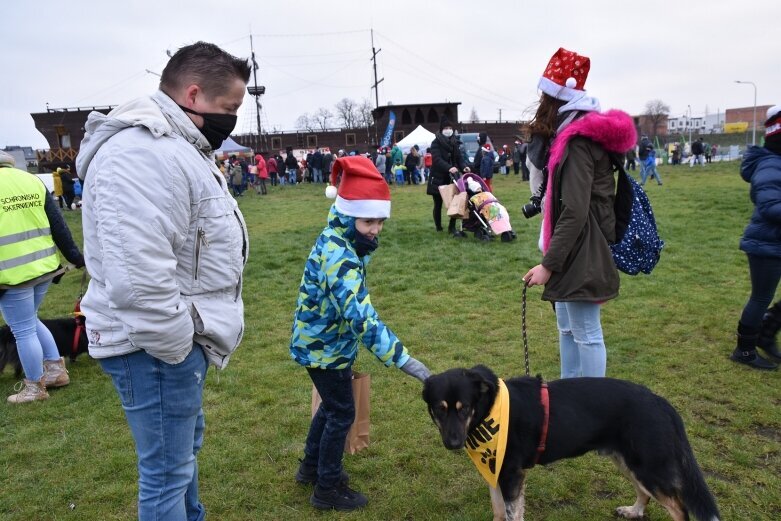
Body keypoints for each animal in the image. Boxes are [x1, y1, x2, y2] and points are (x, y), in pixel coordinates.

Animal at [420, 366, 720, 520]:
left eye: (464, 408)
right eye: (439, 409)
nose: (453, 443)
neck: (490, 409)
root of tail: (659, 401)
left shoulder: (510, 476)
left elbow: (511, 514)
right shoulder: (495, 473)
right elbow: (498, 512)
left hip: (649, 467)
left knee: (680, 508)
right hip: (628, 462)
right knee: (644, 493)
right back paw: (633, 511)